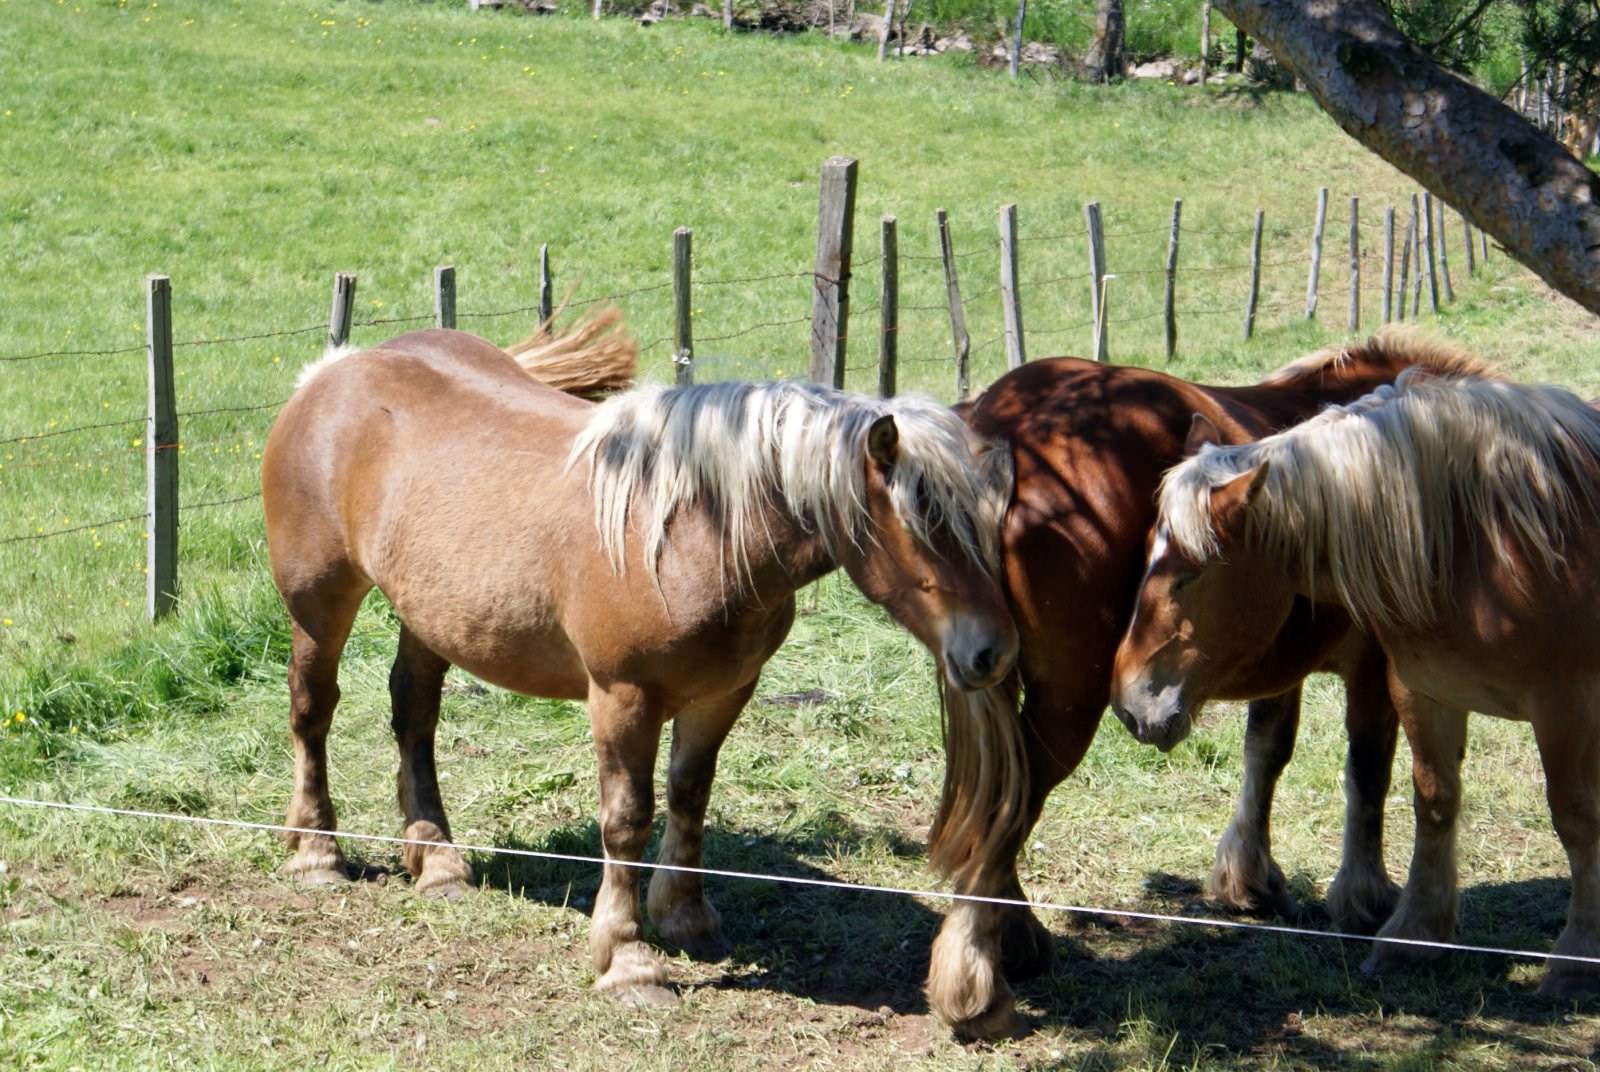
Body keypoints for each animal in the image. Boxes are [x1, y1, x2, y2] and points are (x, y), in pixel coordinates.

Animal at [260, 316, 1011, 1011]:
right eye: (924, 524)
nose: (991, 652)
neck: (690, 532)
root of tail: (334, 369)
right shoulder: (624, 698)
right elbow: (627, 820)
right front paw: (627, 960)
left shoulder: (723, 692)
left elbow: (689, 795)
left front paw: (685, 916)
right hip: (319, 605)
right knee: (312, 711)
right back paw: (317, 851)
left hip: (430, 616)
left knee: (413, 715)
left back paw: (438, 862)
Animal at [921, 334, 1491, 1043]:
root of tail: (1003, 424)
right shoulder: (1376, 668)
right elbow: (1369, 772)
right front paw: (1363, 897)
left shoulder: (1271, 659)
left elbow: (1267, 753)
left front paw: (1249, 878)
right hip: (1067, 706)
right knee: (1012, 804)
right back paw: (979, 973)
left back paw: (1013, 935)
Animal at [1113, 371, 1600, 998]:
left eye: (1189, 574)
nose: (1129, 703)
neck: (1489, 547)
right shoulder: (1425, 692)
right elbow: (1434, 802)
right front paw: (1414, 936)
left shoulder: (1565, 706)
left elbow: (1574, 817)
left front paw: (1576, 958)